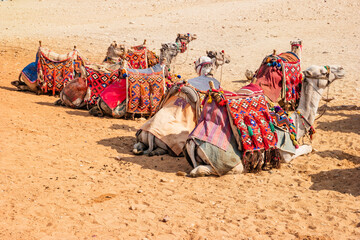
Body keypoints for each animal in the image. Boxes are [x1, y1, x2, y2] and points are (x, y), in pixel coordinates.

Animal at [186, 64, 346, 177]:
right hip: (226, 161)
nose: (341, 69)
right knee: (205, 169)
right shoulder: (286, 153)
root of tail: (192, 143)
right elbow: (307, 147)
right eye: (323, 72)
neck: (294, 123)